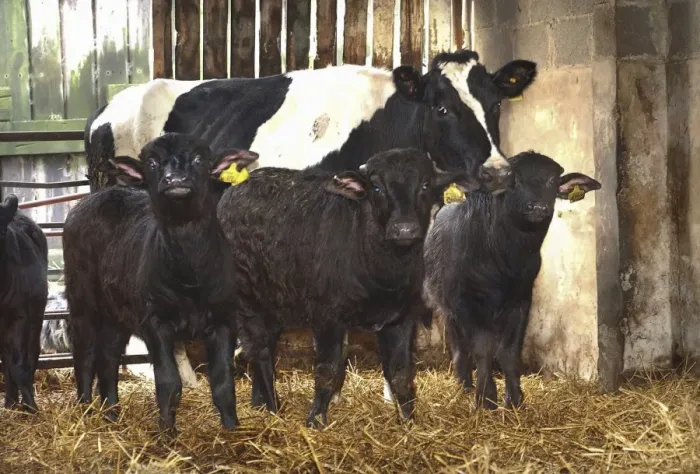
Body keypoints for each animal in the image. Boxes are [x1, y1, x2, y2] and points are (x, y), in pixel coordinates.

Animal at [62, 133, 258, 432]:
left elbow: (224, 384)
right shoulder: (156, 322)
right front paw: (167, 432)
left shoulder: (224, 320)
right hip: (81, 298)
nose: (175, 179)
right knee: (84, 354)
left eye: (200, 159)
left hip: (116, 312)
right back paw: (85, 410)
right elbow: (168, 383)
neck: (191, 275)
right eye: (152, 163)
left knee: (108, 358)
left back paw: (111, 414)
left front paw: (232, 429)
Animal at [217, 148, 479, 428]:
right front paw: (315, 420)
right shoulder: (327, 318)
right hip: (247, 301)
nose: (404, 229)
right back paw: (273, 409)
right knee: (261, 351)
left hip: (275, 301)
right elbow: (327, 370)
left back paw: (260, 402)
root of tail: (241, 184)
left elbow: (400, 373)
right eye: (376, 187)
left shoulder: (400, 319)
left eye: (425, 185)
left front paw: (408, 422)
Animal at [422, 151, 601, 409]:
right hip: (447, 306)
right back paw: (465, 384)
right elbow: (483, 348)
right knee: (458, 345)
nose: (538, 206)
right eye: (514, 180)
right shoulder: (468, 303)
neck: (505, 260)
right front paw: (486, 397)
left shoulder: (521, 300)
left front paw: (514, 398)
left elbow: (509, 351)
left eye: (552, 180)